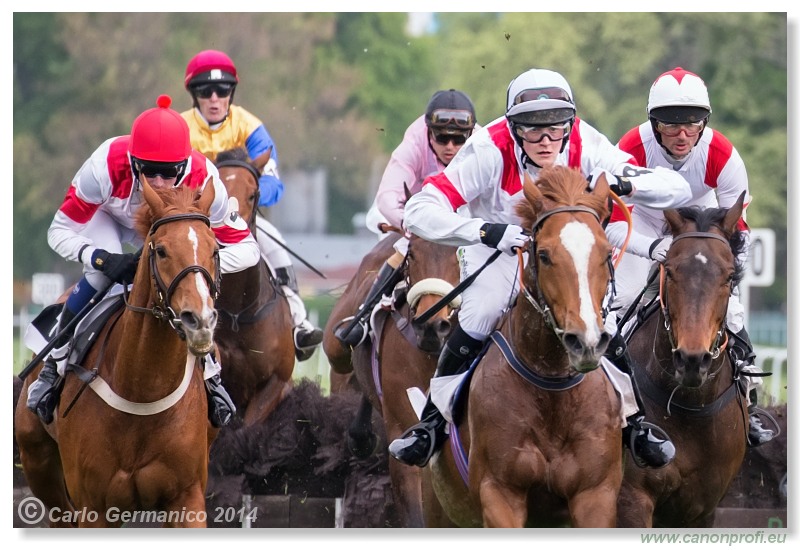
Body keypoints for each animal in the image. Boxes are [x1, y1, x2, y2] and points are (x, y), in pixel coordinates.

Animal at [14, 179, 222, 528]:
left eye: (215, 250)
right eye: (161, 250)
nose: (200, 320)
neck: (143, 390)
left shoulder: (187, 497)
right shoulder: (94, 507)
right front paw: (118, 263)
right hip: (38, 462)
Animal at [428, 168, 620, 532]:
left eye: (606, 254)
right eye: (544, 255)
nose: (585, 342)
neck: (551, 388)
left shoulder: (596, 494)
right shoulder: (499, 491)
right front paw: (501, 234)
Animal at [620, 195, 752, 532]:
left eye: (729, 276)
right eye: (669, 271)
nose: (692, 360)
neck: (690, 409)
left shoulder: (702, 510)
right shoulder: (631, 500)